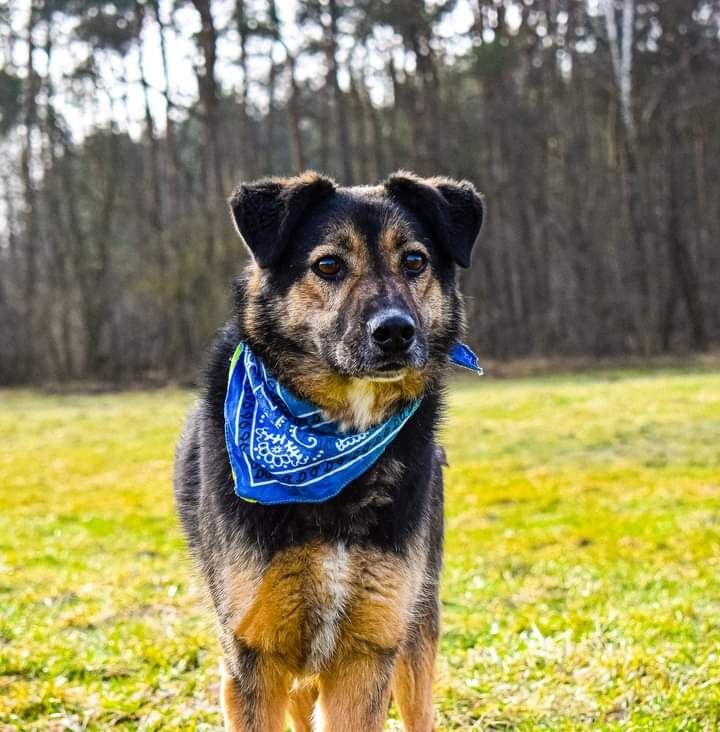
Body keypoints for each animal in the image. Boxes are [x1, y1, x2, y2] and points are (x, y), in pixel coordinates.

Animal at [174, 172, 484, 732]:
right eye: (328, 266)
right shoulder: (253, 654)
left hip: (416, 630)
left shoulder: (369, 650)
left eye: (414, 261)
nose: (395, 331)